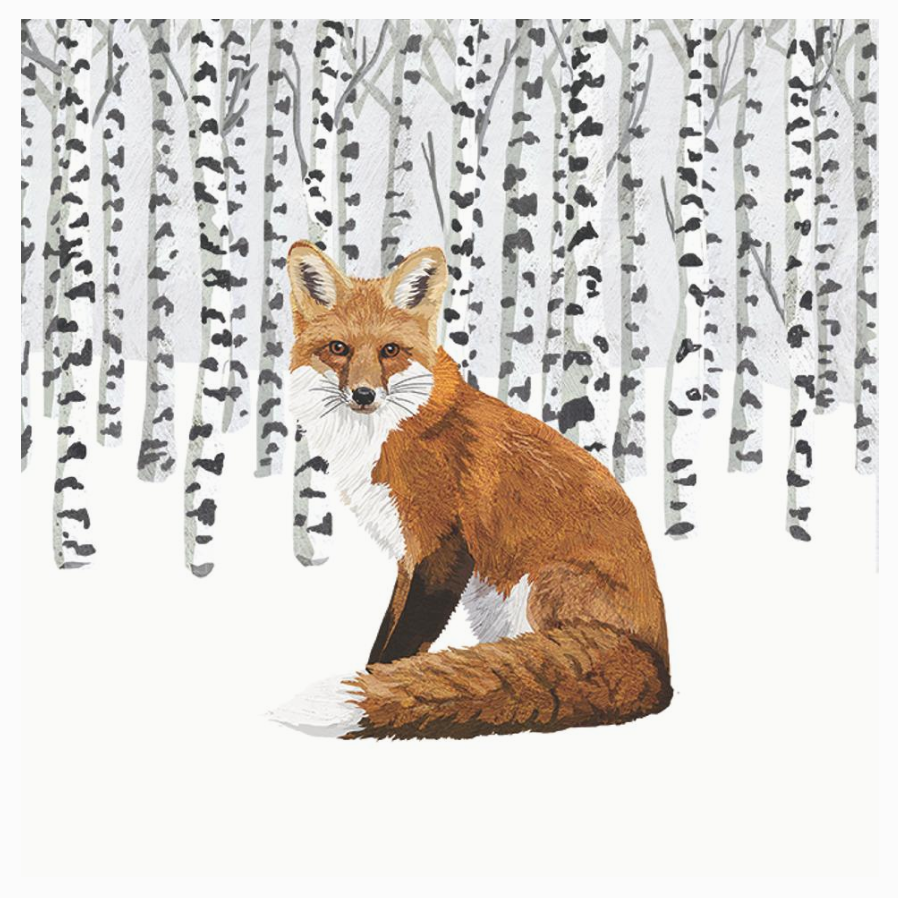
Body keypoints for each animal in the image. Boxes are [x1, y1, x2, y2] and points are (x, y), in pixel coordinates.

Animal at [271, 240, 672, 739]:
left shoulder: (444, 548)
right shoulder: (409, 553)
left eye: (389, 350)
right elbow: (388, 633)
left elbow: (399, 644)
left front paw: (382, 685)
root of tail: (658, 664)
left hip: (540, 583)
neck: (391, 432)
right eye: (338, 349)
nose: (364, 395)